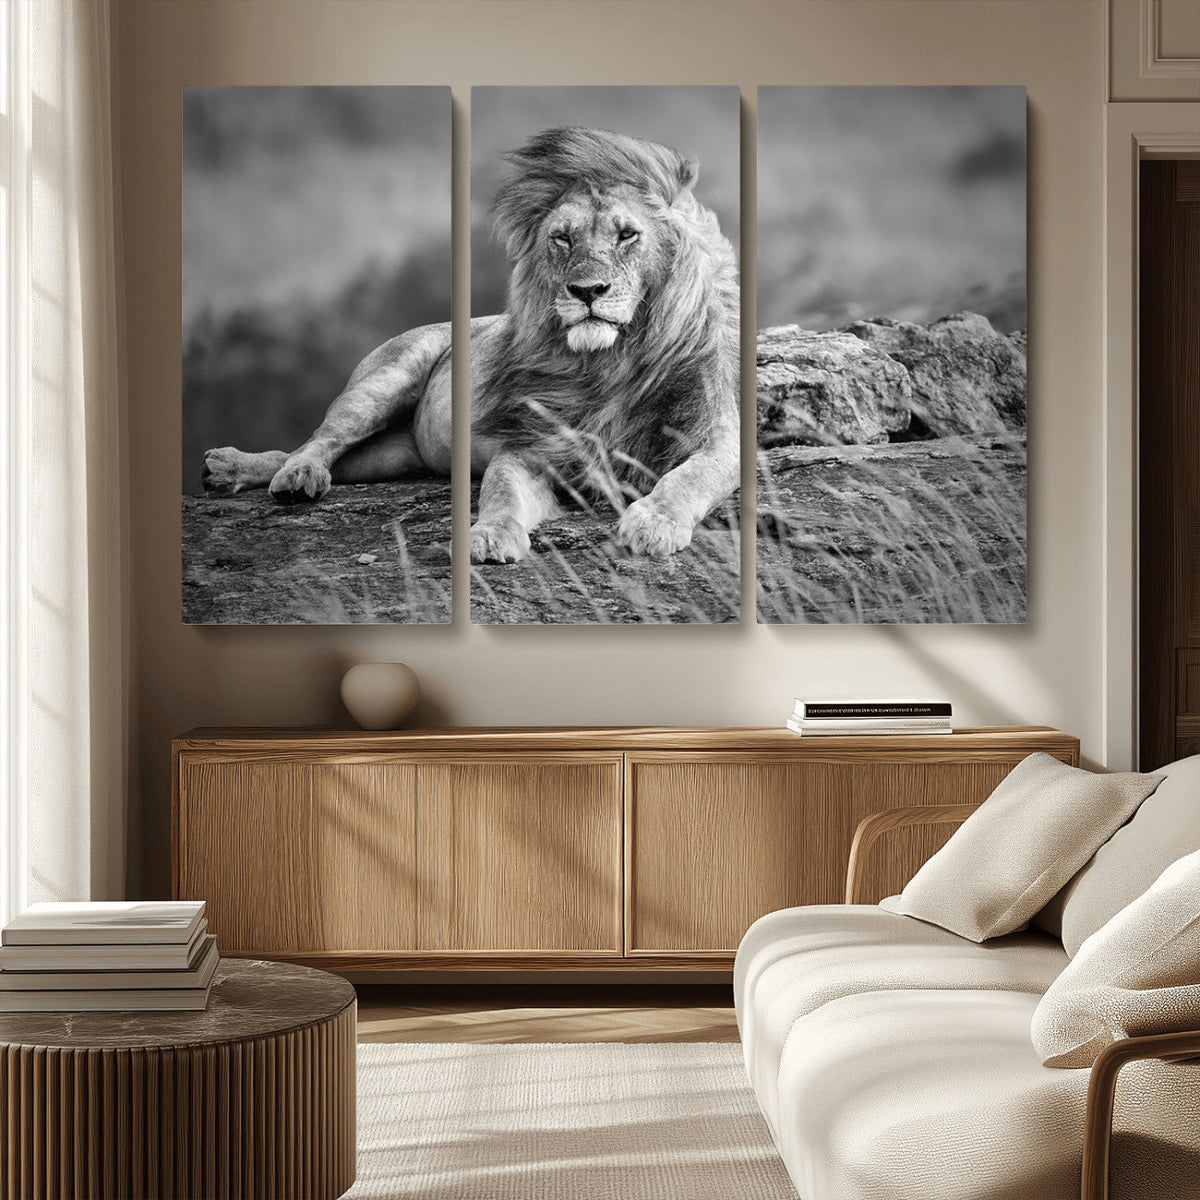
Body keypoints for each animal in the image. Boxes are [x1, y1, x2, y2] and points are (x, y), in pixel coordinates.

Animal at [202, 126, 740, 563]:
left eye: (628, 234)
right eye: (562, 239)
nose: (586, 291)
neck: (611, 362)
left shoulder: (717, 436)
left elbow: (690, 476)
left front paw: (653, 523)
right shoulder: (530, 446)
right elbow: (500, 491)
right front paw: (488, 535)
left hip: (392, 456)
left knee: (317, 453)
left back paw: (232, 470)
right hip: (383, 382)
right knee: (317, 440)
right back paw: (283, 475)